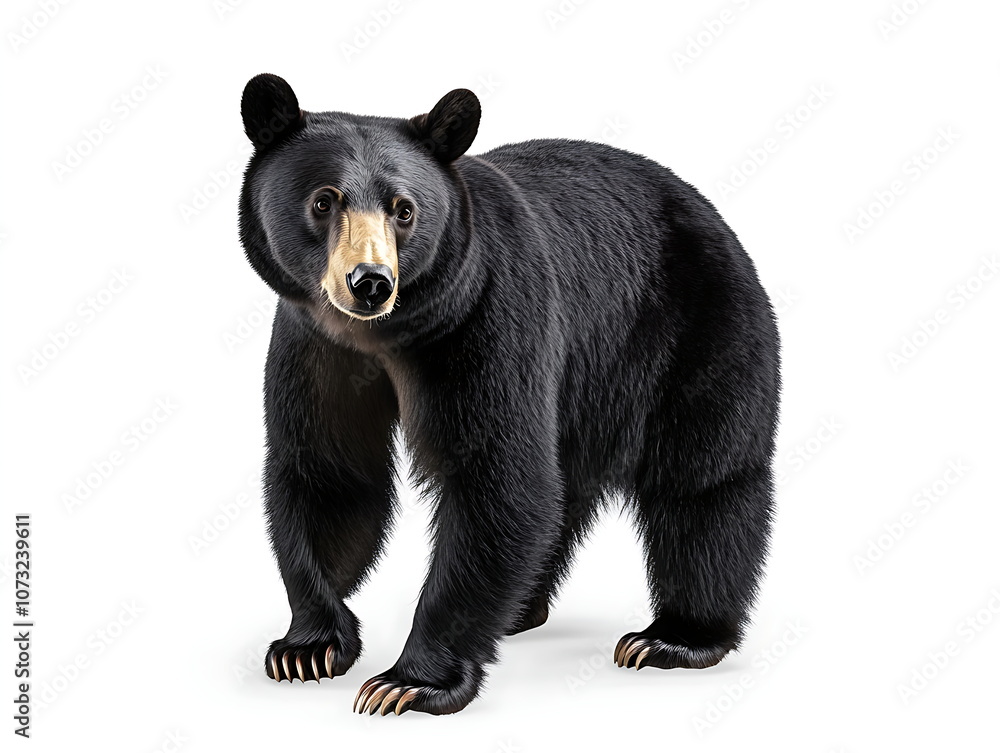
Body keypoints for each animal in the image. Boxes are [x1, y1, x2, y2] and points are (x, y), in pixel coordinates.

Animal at [238, 73, 780, 716]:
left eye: (404, 210)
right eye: (324, 201)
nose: (369, 282)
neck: (389, 337)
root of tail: (713, 214)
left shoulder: (489, 318)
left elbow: (497, 478)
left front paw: (410, 681)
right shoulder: (317, 347)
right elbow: (330, 473)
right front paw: (308, 646)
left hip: (694, 329)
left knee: (702, 481)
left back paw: (674, 637)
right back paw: (523, 608)